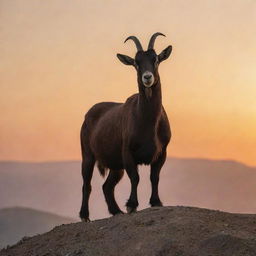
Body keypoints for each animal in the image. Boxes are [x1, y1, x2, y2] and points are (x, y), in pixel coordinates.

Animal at [80, 32, 172, 221]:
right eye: (136, 62)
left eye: (156, 59)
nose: (147, 77)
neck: (148, 122)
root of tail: (88, 114)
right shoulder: (128, 152)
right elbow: (135, 177)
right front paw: (131, 205)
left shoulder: (162, 152)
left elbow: (154, 176)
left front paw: (156, 202)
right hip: (87, 154)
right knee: (87, 183)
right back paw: (85, 216)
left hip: (115, 165)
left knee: (107, 186)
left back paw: (116, 211)